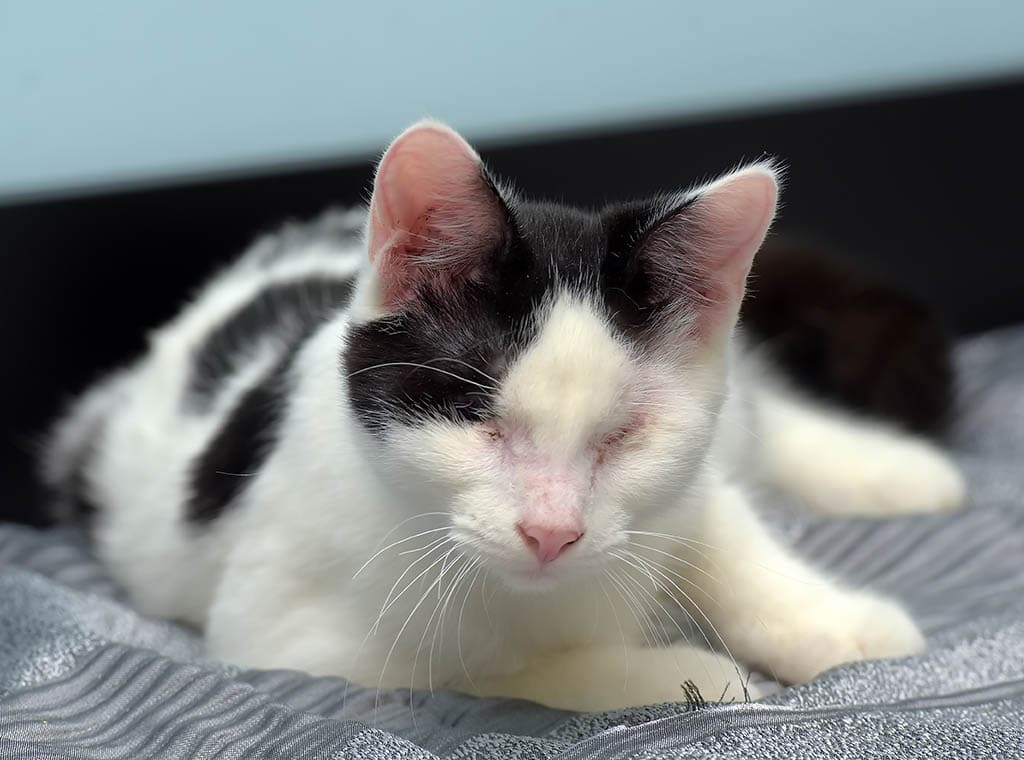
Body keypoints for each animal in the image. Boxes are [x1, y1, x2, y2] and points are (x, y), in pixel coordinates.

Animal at [41, 120, 966, 712]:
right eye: (476, 418)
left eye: (624, 436)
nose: (553, 532)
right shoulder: (284, 638)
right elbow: (484, 673)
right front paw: (675, 677)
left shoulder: (684, 487)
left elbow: (727, 535)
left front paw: (836, 625)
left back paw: (898, 470)